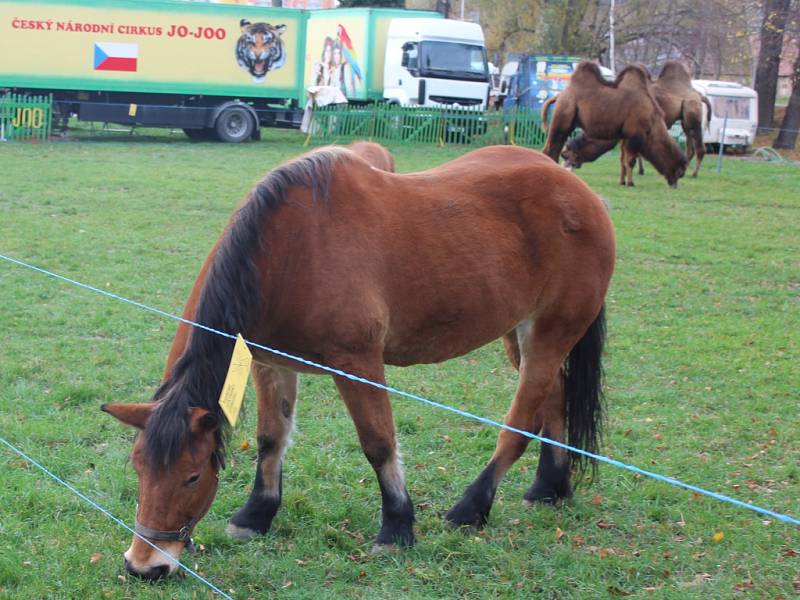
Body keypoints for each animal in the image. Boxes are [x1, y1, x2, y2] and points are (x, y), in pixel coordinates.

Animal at [98, 143, 612, 580]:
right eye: (138, 468)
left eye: (191, 476)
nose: (144, 566)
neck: (291, 250)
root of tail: (581, 193)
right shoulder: (270, 362)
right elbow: (271, 439)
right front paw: (256, 514)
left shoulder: (358, 362)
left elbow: (378, 443)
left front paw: (397, 527)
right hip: (521, 333)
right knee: (554, 399)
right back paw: (549, 487)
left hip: (550, 332)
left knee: (520, 420)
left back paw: (472, 506)